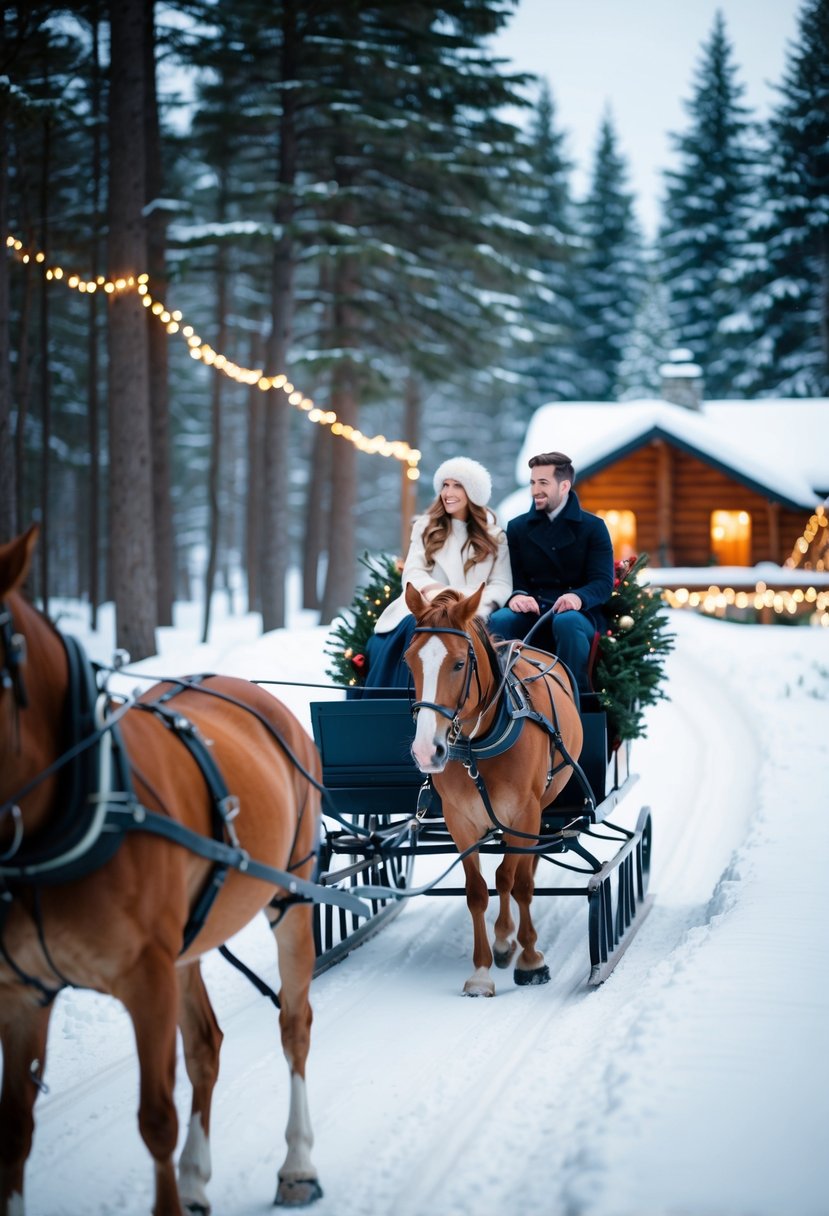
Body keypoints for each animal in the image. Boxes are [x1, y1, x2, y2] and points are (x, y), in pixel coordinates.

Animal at [0, 530, 323, 1216]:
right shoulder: (22, 991)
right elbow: (14, 1130)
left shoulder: (144, 979)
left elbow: (155, 1118)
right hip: (188, 942)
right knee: (205, 1045)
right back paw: (198, 1177)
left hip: (291, 898)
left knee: (294, 1026)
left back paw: (298, 1165)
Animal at [401, 581, 581, 997]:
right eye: (409, 661)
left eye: (458, 663)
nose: (426, 750)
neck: (477, 745)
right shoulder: (459, 820)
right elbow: (479, 889)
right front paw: (483, 969)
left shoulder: (525, 814)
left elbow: (516, 882)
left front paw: (528, 957)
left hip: (537, 811)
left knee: (521, 873)